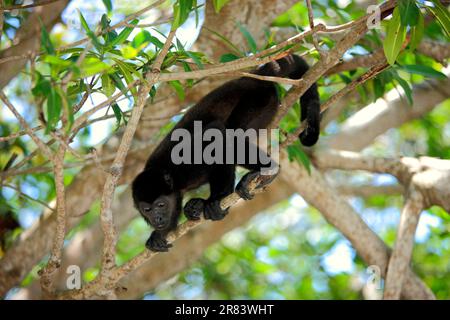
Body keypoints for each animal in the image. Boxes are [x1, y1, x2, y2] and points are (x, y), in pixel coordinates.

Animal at [131, 53, 320, 251]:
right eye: (146, 209)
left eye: (160, 204)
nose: (157, 219)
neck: (172, 179)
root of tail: (251, 77)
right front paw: (159, 235)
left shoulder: (183, 165)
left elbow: (218, 138)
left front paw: (218, 198)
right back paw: (195, 206)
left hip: (258, 100)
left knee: (231, 134)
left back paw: (267, 171)